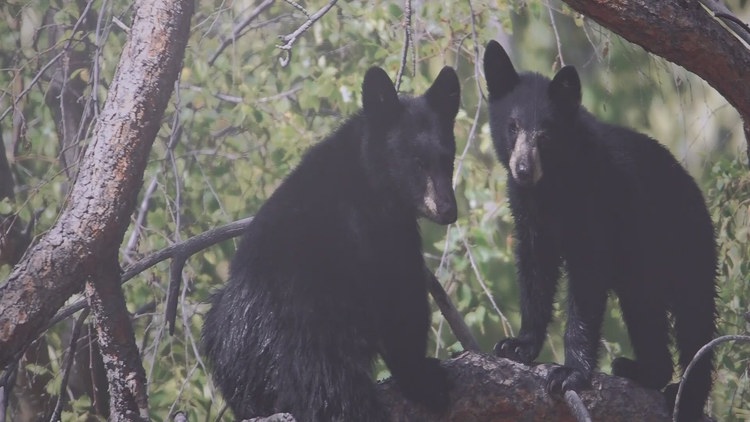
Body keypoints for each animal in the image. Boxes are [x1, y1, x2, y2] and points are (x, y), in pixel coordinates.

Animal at [202, 65, 461, 421]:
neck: (368, 176)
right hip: (316, 331)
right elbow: (402, 299)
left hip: (226, 335)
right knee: (335, 394)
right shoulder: (380, 233)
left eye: (448, 159)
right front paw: (422, 378)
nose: (448, 209)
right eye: (417, 161)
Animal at [483, 40, 717, 421]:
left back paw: (684, 395)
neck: (552, 187)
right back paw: (642, 370)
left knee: (694, 319)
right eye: (512, 126)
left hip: (685, 241)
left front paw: (569, 373)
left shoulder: (596, 209)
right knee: (645, 311)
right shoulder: (529, 215)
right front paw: (517, 344)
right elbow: (534, 274)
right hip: (642, 269)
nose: (523, 169)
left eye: (545, 134)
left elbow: (586, 286)